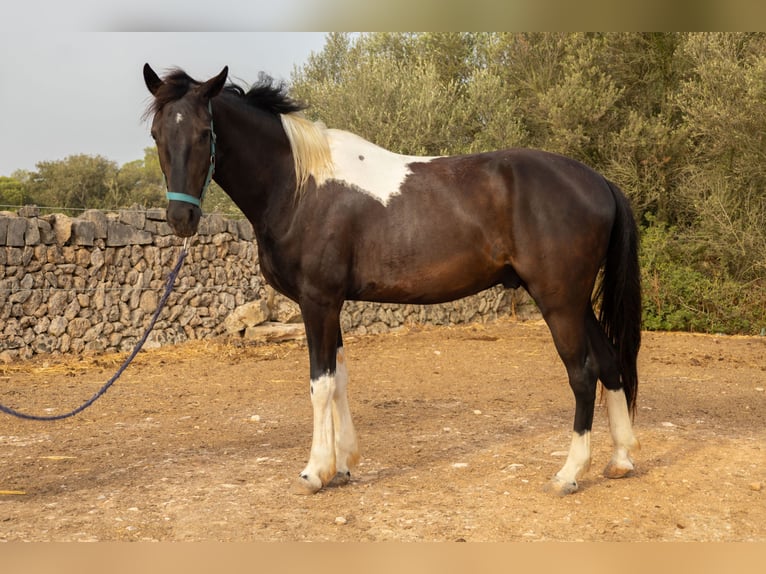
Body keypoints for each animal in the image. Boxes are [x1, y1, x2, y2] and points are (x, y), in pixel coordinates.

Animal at [143, 64, 642, 495]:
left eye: (204, 133)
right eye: (156, 134)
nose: (181, 219)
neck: (300, 185)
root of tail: (599, 181)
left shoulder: (316, 301)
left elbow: (320, 384)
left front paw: (315, 472)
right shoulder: (332, 305)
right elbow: (340, 377)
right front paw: (343, 465)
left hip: (559, 302)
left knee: (583, 374)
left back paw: (569, 474)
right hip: (577, 303)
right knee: (610, 364)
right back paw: (620, 459)